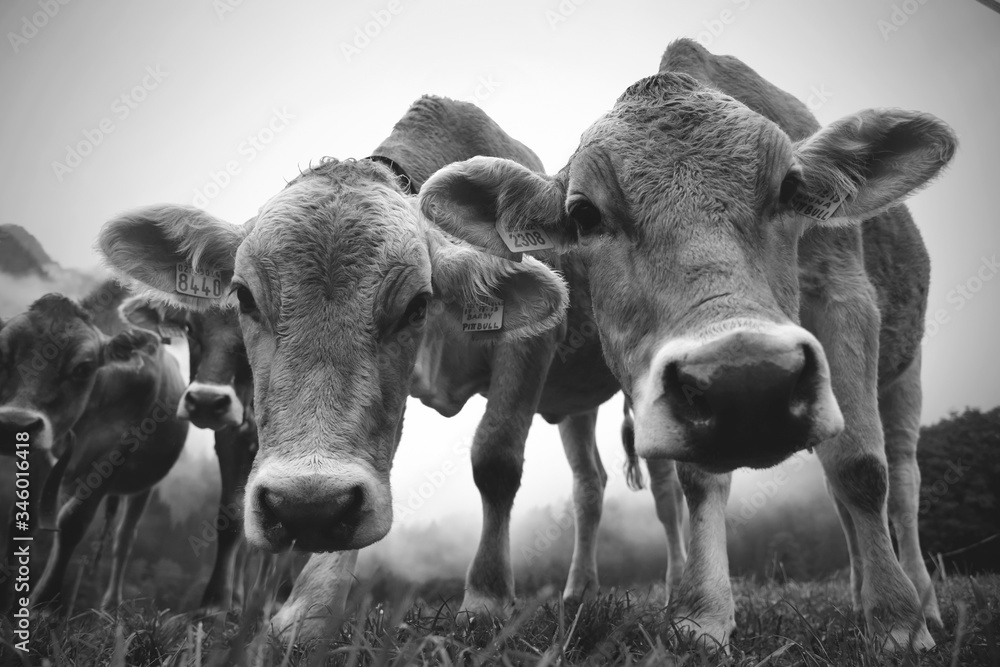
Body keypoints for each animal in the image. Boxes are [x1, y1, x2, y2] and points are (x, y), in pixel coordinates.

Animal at [0, 282, 189, 612]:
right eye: (2, 356)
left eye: (84, 368)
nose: (14, 425)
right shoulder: (40, 453)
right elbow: (21, 521)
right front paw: (9, 603)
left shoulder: (114, 452)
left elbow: (73, 521)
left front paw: (44, 604)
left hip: (144, 485)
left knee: (124, 538)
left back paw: (111, 605)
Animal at [418, 37, 956, 652]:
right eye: (584, 214)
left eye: (791, 188)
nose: (749, 381)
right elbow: (700, 477)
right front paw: (702, 614)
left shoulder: (846, 296)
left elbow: (861, 466)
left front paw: (897, 619)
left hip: (905, 371)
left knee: (904, 476)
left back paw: (922, 601)